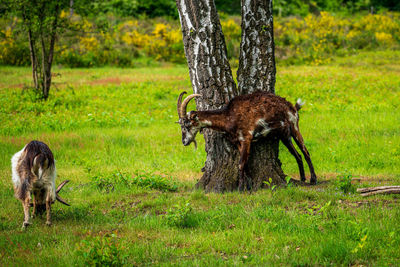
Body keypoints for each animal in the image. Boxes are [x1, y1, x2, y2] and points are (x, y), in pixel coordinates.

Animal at [177, 91, 318, 191]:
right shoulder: (239, 143)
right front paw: (248, 186)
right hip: (285, 136)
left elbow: (240, 164)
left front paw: (240, 189)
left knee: (305, 152)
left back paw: (313, 179)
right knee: (297, 155)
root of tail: (292, 106)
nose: (184, 141)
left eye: (187, 124)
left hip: (294, 126)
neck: (228, 116)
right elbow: (246, 164)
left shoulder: (246, 138)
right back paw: (303, 178)